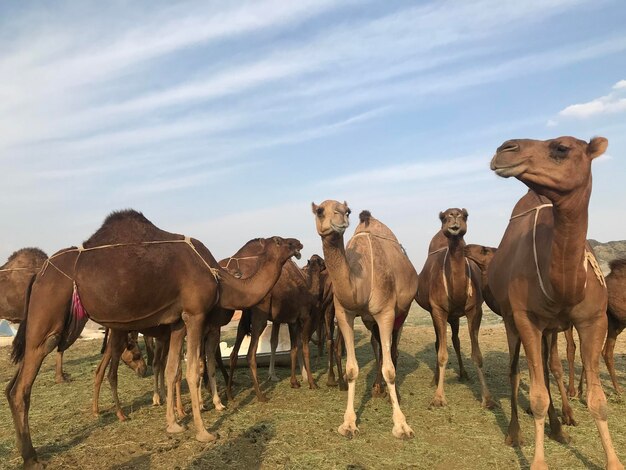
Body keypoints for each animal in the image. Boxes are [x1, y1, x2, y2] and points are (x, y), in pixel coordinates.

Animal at [310, 203, 416, 440]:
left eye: (346, 210)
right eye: (320, 210)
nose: (340, 219)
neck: (360, 282)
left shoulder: (386, 313)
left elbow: (390, 370)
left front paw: (401, 425)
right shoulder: (345, 314)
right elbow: (351, 369)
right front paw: (348, 423)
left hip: (402, 313)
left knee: (393, 350)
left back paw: (392, 393)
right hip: (370, 321)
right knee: (377, 345)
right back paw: (377, 388)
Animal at [414, 208, 492, 408]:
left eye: (465, 215)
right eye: (443, 217)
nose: (454, 216)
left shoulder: (475, 311)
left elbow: (477, 355)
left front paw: (487, 398)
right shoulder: (438, 310)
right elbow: (442, 353)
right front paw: (438, 397)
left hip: (455, 316)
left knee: (455, 340)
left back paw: (463, 374)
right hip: (438, 313)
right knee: (438, 343)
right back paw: (434, 379)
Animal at [488, 136, 620, 470]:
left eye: (561, 148)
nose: (504, 149)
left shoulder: (593, 320)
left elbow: (597, 401)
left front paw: (613, 461)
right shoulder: (526, 318)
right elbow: (535, 396)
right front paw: (537, 461)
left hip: (551, 329)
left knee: (548, 370)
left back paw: (559, 428)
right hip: (511, 320)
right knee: (515, 371)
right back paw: (515, 432)